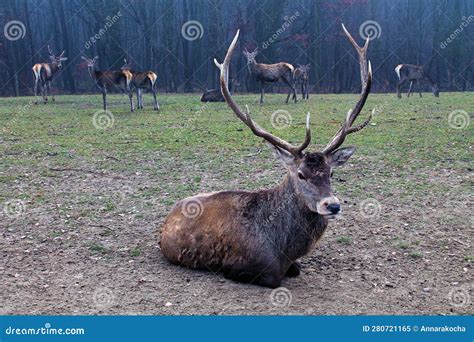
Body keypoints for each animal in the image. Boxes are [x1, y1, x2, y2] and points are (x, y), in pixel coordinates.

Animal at [160, 27, 374, 288]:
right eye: (300, 174)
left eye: (331, 172)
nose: (332, 205)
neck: (284, 249)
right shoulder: (243, 265)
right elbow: (274, 279)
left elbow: (296, 269)